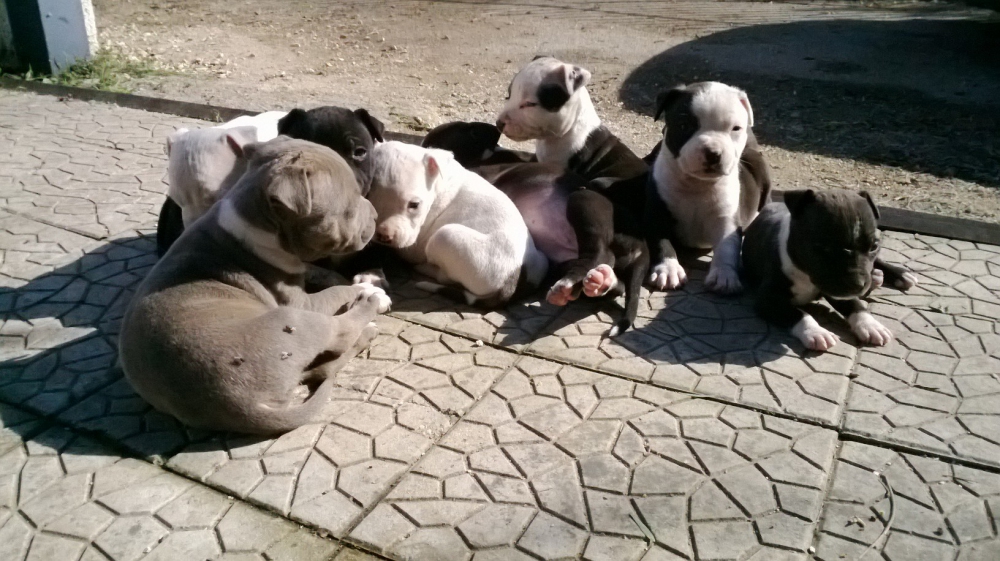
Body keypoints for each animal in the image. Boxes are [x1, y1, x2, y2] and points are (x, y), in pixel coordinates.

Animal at [121, 137, 390, 434]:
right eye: (349, 208)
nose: (376, 214)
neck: (255, 221)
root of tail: (236, 404)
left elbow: (326, 276)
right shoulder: (302, 301)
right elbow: (336, 291)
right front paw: (368, 289)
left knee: (320, 367)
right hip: (293, 321)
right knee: (340, 333)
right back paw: (370, 313)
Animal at [366, 140, 548, 306]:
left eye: (414, 205)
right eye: (368, 198)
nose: (383, 236)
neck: (437, 185)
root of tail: (512, 284)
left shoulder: (412, 245)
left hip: (445, 236)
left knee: (444, 277)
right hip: (541, 258)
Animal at [422, 120, 648, 334]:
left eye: (471, 132)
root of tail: (642, 248)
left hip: (583, 199)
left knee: (602, 254)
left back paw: (569, 284)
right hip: (560, 260)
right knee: (616, 284)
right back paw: (599, 282)